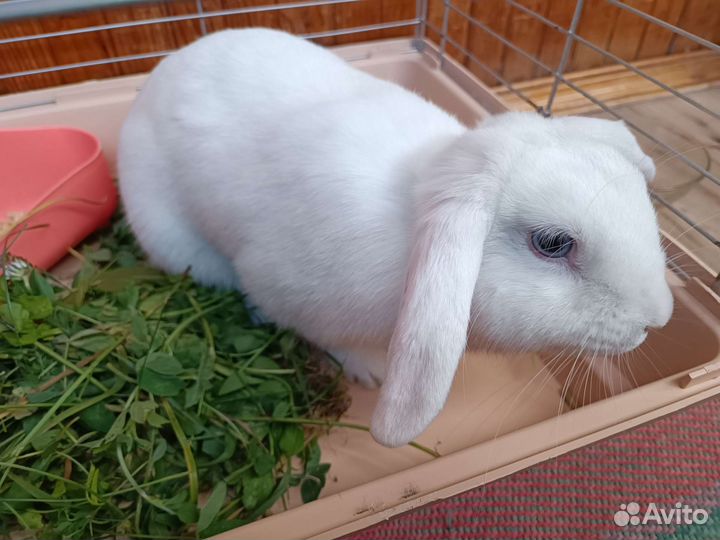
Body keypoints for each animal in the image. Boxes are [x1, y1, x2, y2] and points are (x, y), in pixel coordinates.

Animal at [117, 28, 673, 448]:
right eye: (552, 243)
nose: (659, 319)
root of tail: (151, 84)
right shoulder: (281, 287)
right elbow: (323, 335)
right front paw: (370, 371)